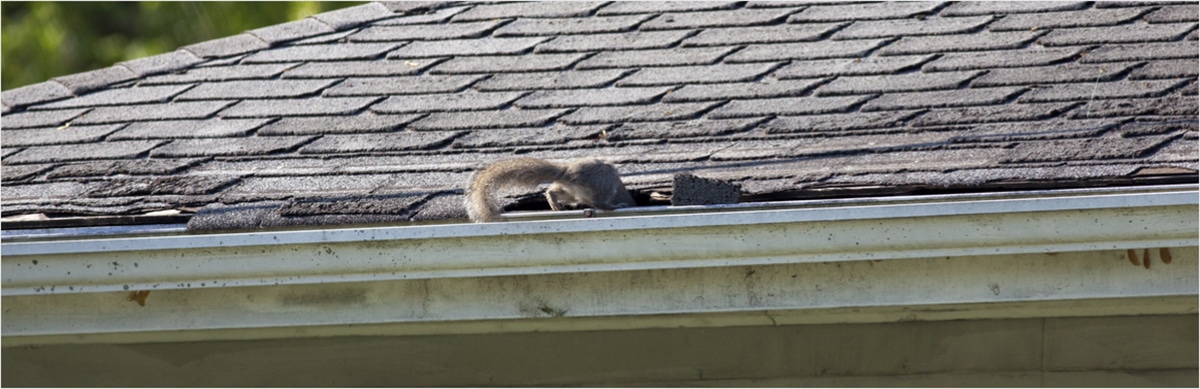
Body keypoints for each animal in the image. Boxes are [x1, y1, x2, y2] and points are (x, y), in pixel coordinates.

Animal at [465, 157, 638, 222]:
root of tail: (567, 171)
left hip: (572, 194)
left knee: (551, 191)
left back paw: (555, 205)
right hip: (604, 180)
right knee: (599, 202)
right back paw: (615, 206)